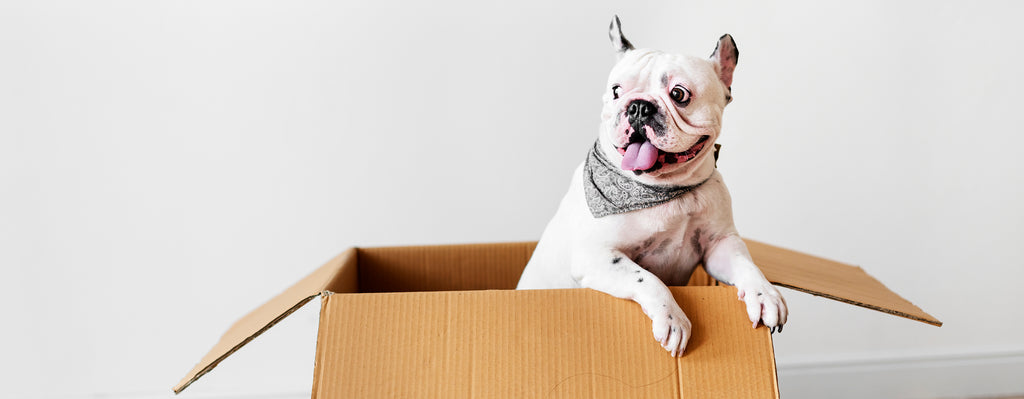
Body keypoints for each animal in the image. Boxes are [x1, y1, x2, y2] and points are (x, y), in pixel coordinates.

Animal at [520, 17, 790, 356]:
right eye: (616, 91)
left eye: (679, 94)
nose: (637, 107)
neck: (667, 189)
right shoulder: (598, 256)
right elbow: (646, 278)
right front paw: (673, 318)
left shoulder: (720, 245)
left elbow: (746, 264)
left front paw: (765, 294)